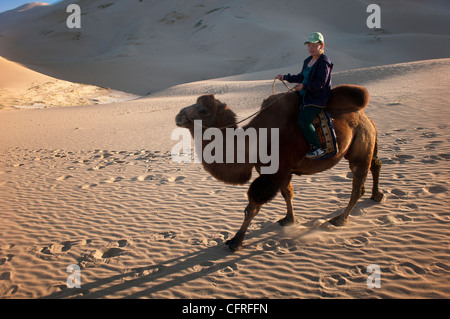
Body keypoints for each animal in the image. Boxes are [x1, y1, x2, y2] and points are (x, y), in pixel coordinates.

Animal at [175, 85, 384, 252]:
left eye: (203, 110)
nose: (179, 116)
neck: (252, 143)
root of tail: (365, 117)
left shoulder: (273, 173)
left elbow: (252, 207)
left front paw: (236, 241)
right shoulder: (282, 172)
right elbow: (287, 193)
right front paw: (289, 219)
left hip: (359, 146)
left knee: (358, 185)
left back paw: (339, 219)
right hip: (366, 139)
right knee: (376, 164)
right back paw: (377, 195)